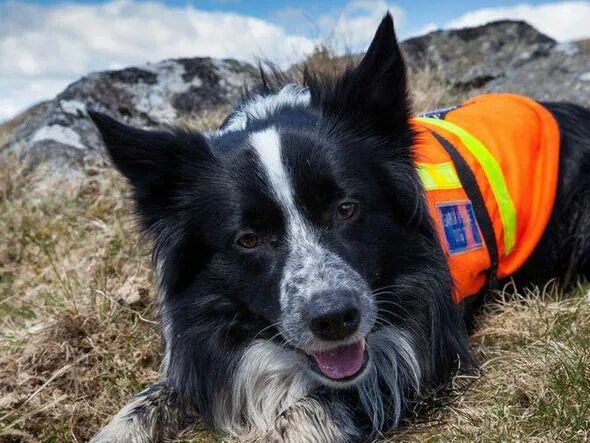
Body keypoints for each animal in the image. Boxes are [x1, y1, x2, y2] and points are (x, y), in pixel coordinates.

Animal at [90, 13, 590, 443]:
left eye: (347, 208)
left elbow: (315, 402)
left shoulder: (418, 346)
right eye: (248, 239)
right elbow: (154, 394)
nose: (334, 320)